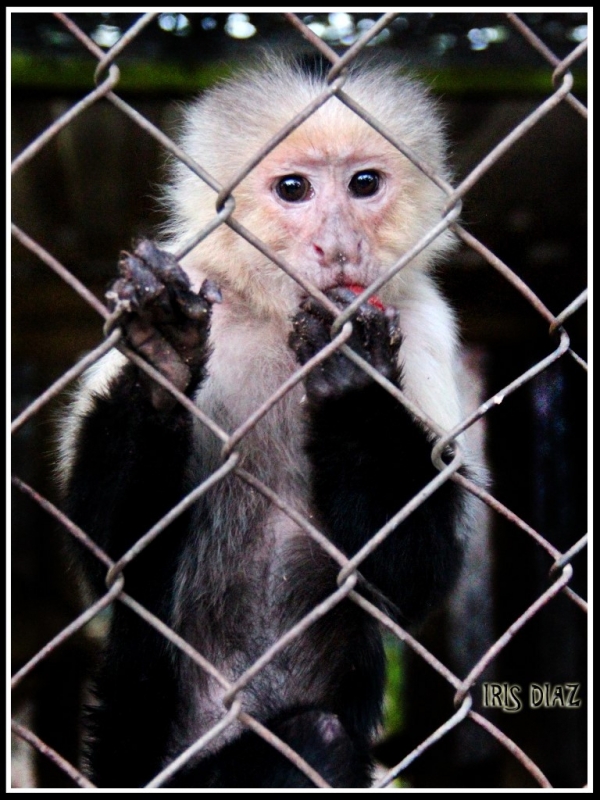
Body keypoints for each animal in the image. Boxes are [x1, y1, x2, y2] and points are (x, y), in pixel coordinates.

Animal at [58, 56, 476, 788]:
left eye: (364, 184)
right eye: (293, 189)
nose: (338, 247)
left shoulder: (425, 321)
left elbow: (412, 577)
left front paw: (353, 379)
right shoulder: (195, 279)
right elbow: (106, 550)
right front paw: (163, 363)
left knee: (322, 735)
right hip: (130, 744)